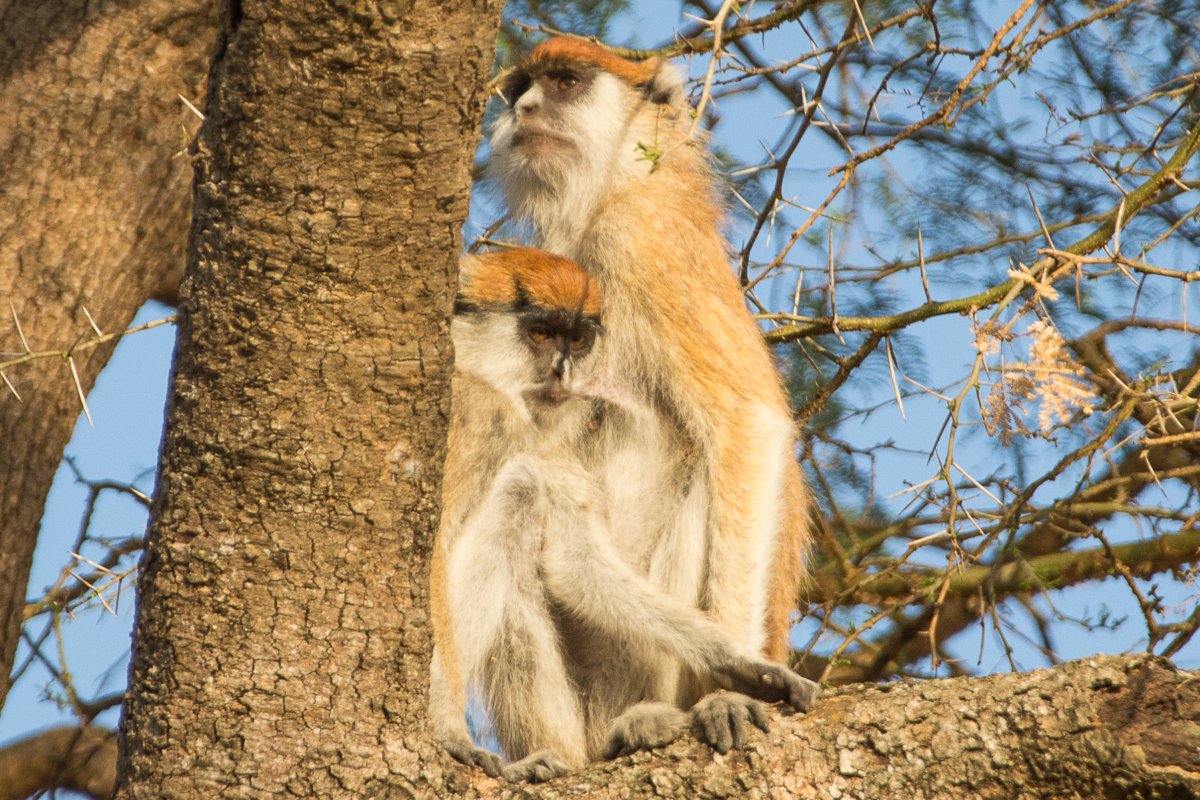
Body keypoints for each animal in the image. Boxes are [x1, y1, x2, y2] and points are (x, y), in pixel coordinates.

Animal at [427, 250, 811, 782]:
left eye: (577, 339)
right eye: (540, 333)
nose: (562, 372)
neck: (482, 377)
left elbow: (573, 563)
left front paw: (738, 664)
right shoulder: (474, 417)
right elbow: (435, 554)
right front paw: (448, 732)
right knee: (519, 492)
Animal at [487, 37, 816, 762]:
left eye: (564, 82)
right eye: (519, 88)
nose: (523, 109)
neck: (619, 186)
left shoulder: (644, 242)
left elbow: (747, 423)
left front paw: (735, 690)